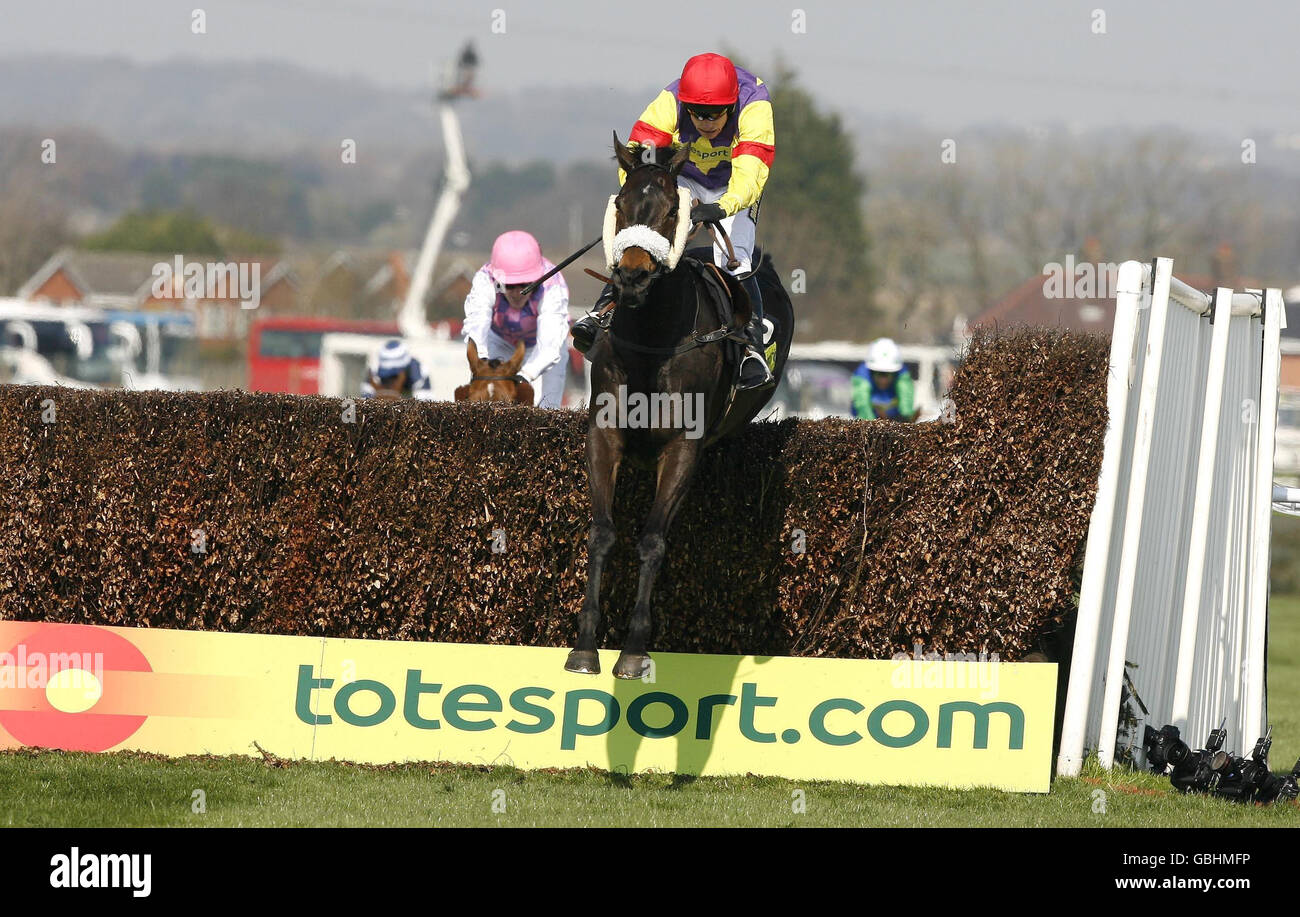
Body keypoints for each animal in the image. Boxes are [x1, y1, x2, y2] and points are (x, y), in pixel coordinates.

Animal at [566, 137, 790, 681]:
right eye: (622, 206)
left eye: (671, 211)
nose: (631, 275)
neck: (653, 339)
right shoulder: (604, 435)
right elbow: (602, 532)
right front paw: (585, 646)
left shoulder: (683, 449)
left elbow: (652, 540)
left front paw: (633, 651)